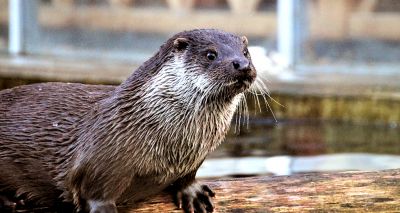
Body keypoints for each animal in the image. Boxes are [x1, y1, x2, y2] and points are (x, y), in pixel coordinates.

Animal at [0, 29, 256, 212]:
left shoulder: (193, 160)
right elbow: (94, 195)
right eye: (211, 54)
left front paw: (192, 192)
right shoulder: (98, 165)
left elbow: (187, 177)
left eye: (245, 52)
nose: (243, 65)